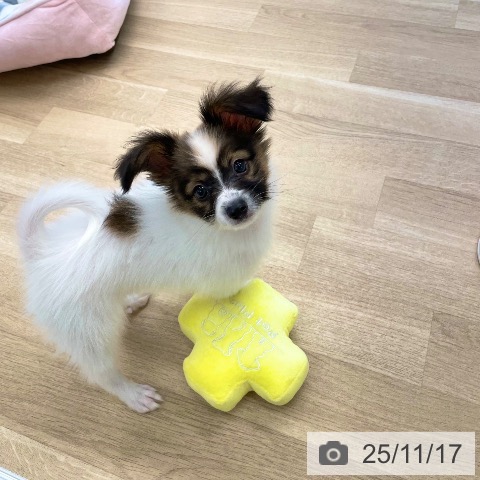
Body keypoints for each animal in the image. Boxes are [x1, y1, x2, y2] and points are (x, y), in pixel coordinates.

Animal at [17, 80, 276, 412]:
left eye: (240, 165)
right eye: (200, 191)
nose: (236, 209)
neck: (211, 225)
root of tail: (41, 254)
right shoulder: (221, 280)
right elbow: (230, 292)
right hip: (90, 330)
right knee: (101, 373)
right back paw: (134, 395)